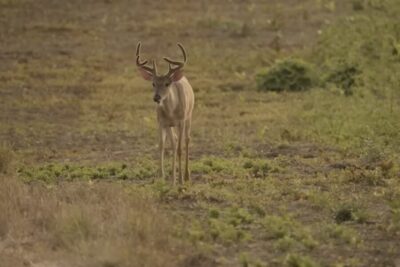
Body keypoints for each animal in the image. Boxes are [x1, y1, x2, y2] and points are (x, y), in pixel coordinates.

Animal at [136, 43, 195, 185]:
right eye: (153, 83)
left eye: (167, 83)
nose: (156, 97)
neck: (171, 111)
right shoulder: (162, 122)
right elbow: (162, 146)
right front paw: (162, 177)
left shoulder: (181, 121)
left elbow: (179, 149)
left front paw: (181, 180)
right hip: (170, 125)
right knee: (174, 141)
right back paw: (172, 177)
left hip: (189, 116)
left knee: (187, 140)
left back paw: (186, 176)